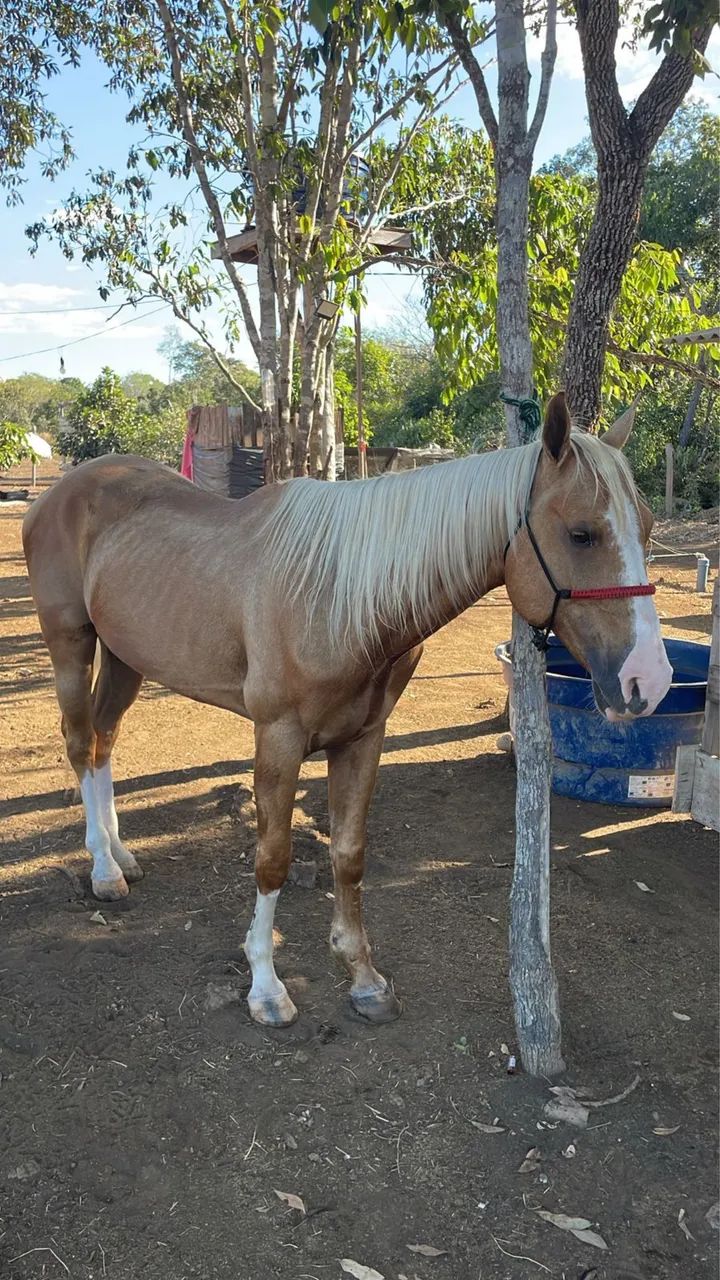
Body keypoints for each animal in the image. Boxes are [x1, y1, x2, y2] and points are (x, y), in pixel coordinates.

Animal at [22, 392, 671, 1028]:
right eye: (583, 534)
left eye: (646, 525)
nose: (651, 679)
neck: (337, 595)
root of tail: (59, 492)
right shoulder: (278, 738)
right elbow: (273, 859)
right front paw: (266, 988)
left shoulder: (363, 738)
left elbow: (349, 854)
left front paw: (363, 979)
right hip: (70, 643)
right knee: (80, 742)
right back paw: (103, 871)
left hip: (126, 656)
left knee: (104, 742)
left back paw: (121, 856)